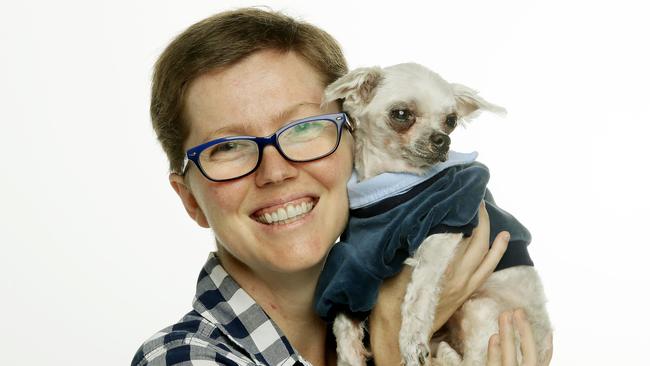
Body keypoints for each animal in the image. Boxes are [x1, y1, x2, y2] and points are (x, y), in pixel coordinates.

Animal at [318, 63, 548, 366]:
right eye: (401, 114)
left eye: (451, 120)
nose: (442, 139)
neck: (392, 185)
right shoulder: (356, 259)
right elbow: (342, 316)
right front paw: (348, 355)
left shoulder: (444, 225)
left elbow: (419, 291)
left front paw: (411, 339)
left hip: (483, 309)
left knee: (474, 359)